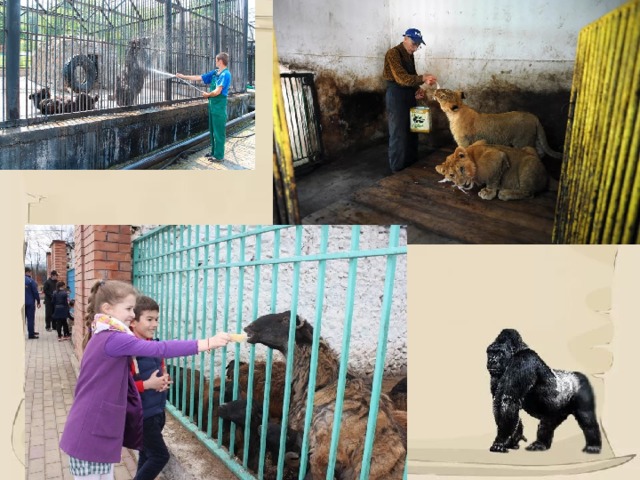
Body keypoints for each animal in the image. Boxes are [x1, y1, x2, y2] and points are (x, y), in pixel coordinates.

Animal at [488, 328, 604, 456]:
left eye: (499, 353)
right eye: (490, 352)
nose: (491, 360)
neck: (519, 349)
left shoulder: (524, 359)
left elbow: (507, 399)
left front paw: (501, 440)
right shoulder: (496, 375)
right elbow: (500, 401)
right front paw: (514, 438)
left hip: (582, 385)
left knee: (586, 417)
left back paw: (593, 446)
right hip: (557, 411)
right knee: (547, 423)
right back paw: (541, 444)